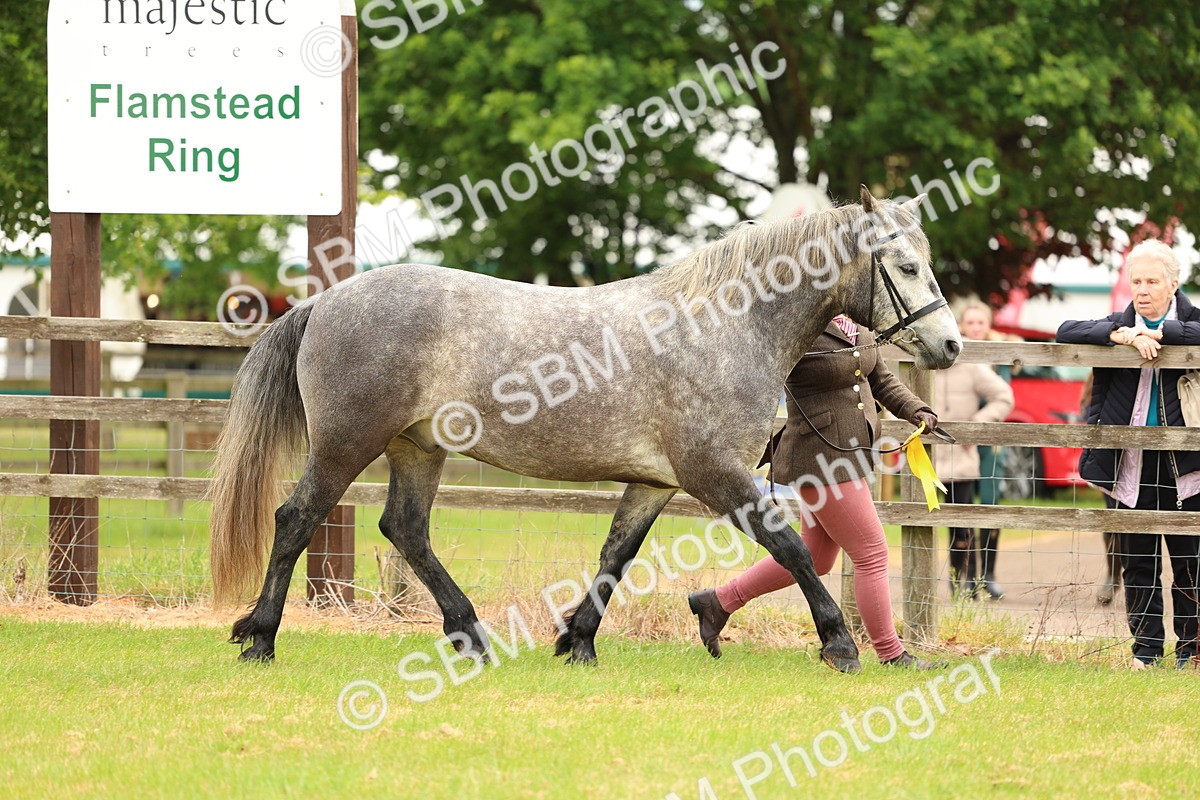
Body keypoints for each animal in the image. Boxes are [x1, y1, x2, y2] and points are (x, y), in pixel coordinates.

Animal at [209, 185, 962, 672]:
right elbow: (793, 550)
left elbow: (614, 558)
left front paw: (577, 642)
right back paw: (260, 638)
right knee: (297, 518)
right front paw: (839, 643)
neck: (723, 325)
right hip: (345, 446)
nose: (950, 345)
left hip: (418, 449)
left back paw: (471, 635)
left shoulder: (655, 484)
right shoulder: (716, 475)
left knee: (406, 529)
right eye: (904, 265)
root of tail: (326, 300)